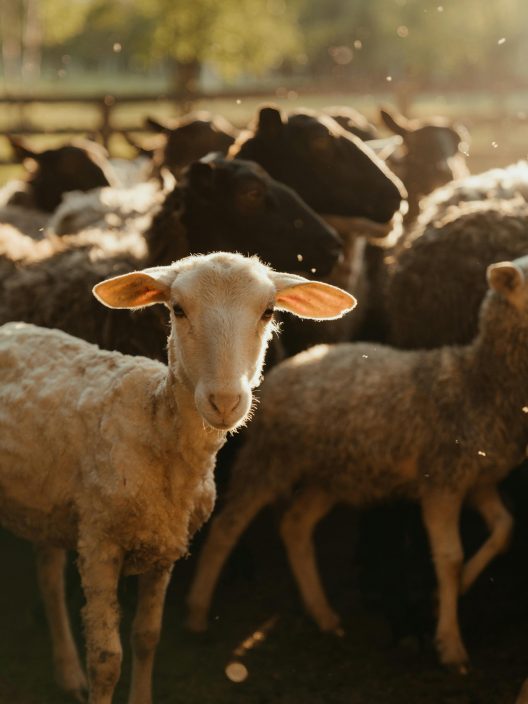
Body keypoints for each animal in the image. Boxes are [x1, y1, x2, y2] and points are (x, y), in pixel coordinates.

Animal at [0, 250, 356, 700]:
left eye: (268, 311)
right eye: (178, 309)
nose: (225, 401)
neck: (157, 427)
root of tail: (10, 328)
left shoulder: (165, 547)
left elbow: (146, 639)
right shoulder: (99, 543)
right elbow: (106, 660)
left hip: (48, 507)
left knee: (47, 578)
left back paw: (67, 673)